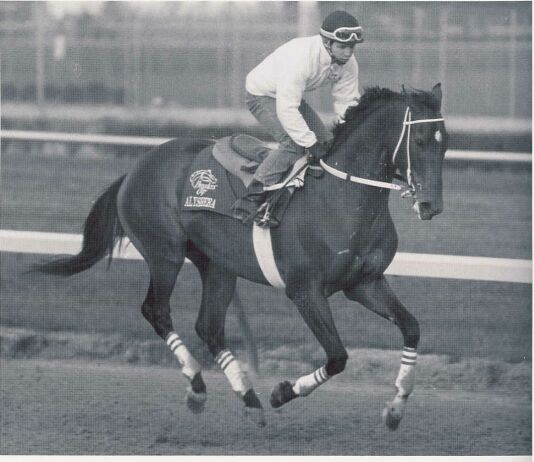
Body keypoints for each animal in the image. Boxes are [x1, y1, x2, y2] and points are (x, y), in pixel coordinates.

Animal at [30, 83, 448, 430]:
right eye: (420, 140)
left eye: (444, 143)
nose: (431, 206)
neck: (341, 199)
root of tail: (135, 168)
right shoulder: (305, 291)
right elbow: (337, 356)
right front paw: (282, 392)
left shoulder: (364, 283)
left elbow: (412, 328)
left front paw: (396, 406)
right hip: (165, 254)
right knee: (157, 311)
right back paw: (199, 387)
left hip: (217, 265)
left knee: (209, 327)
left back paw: (248, 399)